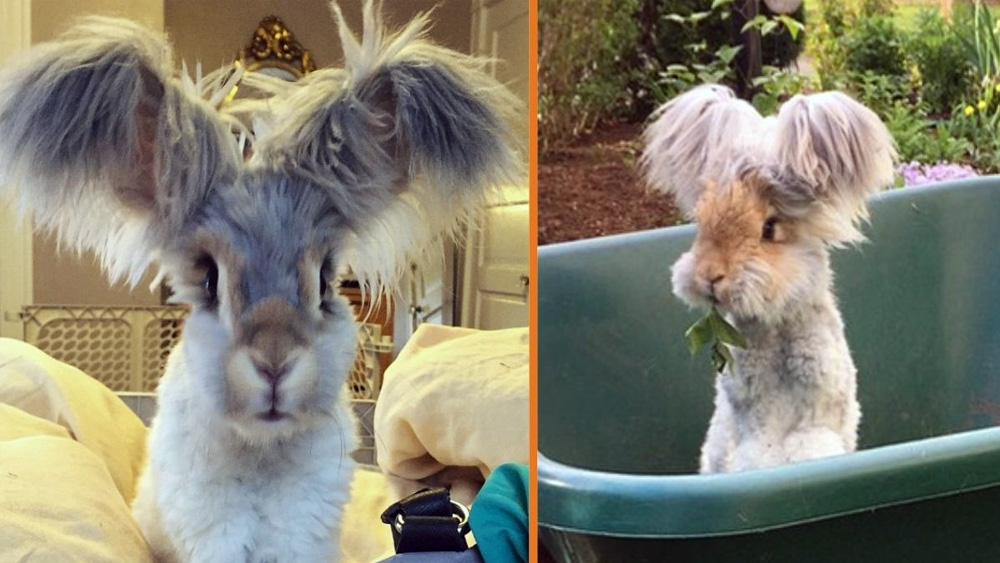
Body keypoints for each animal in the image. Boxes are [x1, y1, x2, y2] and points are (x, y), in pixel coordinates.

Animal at [644, 85, 896, 476]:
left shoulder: (817, 413)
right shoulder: (754, 418)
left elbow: (812, 446)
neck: (776, 324)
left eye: (769, 228)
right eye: (701, 222)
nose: (710, 276)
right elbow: (757, 454)